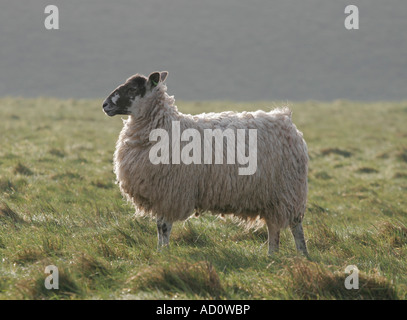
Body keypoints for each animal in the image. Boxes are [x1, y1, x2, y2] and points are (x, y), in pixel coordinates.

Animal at [102, 71, 310, 256]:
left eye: (132, 89)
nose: (104, 105)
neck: (164, 127)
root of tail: (286, 121)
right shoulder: (161, 194)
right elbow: (159, 227)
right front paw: (160, 252)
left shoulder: (171, 192)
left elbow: (163, 227)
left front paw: (164, 254)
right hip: (272, 195)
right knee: (274, 227)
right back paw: (272, 255)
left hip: (288, 190)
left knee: (295, 225)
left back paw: (302, 255)